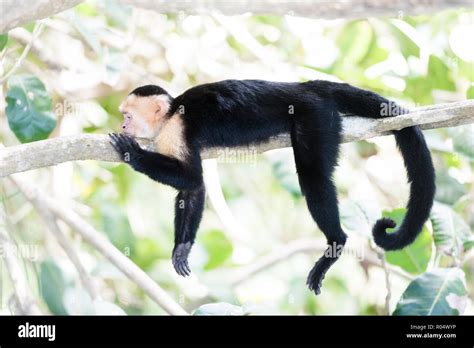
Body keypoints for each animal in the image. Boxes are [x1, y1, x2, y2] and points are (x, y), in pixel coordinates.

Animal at [109, 80, 436, 294]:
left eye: (127, 116)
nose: (124, 126)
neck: (170, 115)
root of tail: (304, 86)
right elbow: (194, 187)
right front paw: (182, 248)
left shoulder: (175, 130)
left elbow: (190, 177)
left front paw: (132, 153)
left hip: (314, 115)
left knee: (313, 178)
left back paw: (335, 242)